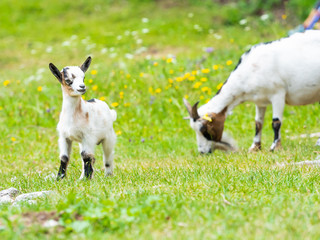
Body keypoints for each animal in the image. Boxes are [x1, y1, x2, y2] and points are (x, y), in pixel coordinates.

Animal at [184, 30, 320, 154]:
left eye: (205, 130)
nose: (202, 152)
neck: (251, 70)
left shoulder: (278, 94)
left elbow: (276, 122)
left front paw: (275, 147)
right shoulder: (260, 101)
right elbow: (258, 124)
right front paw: (255, 147)